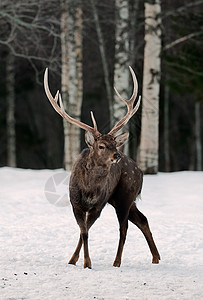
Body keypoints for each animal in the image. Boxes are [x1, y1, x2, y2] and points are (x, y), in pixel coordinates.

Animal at [44, 67, 160, 268]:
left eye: (115, 143)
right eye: (101, 146)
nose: (117, 155)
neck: (89, 190)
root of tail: (140, 171)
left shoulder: (98, 205)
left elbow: (85, 231)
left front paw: (87, 263)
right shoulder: (75, 203)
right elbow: (83, 232)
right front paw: (74, 260)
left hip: (125, 196)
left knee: (124, 228)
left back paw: (117, 261)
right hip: (122, 199)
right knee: (142, 219)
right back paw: (156, 257)